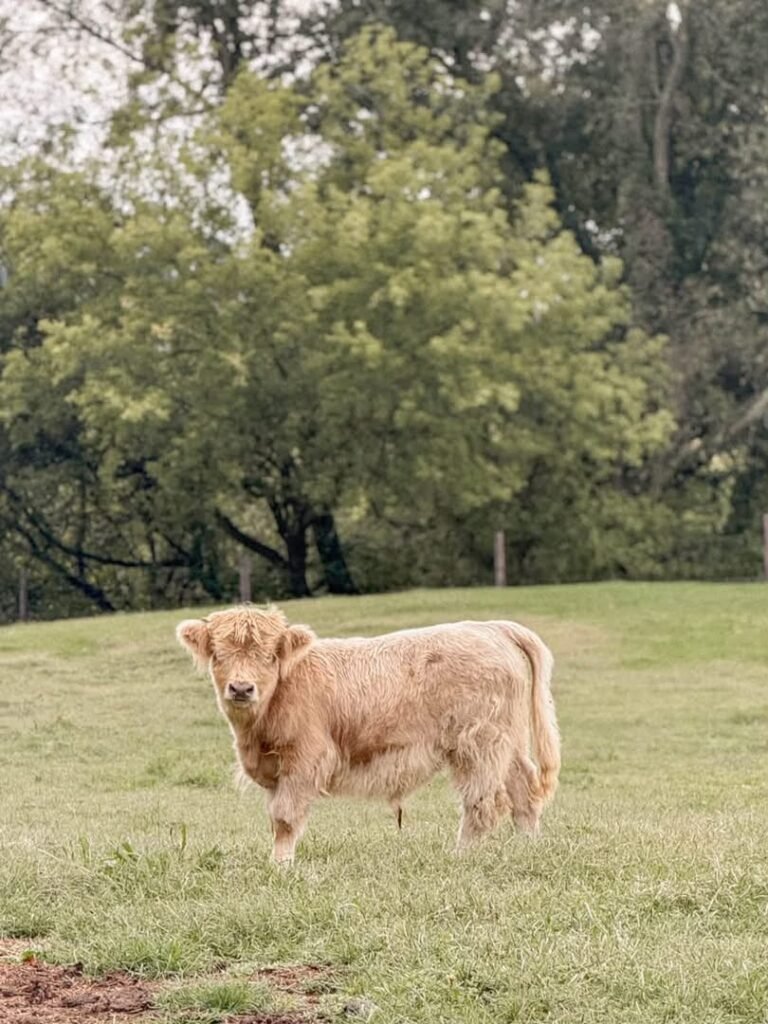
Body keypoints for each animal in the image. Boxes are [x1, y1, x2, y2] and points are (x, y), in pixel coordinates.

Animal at [176, 605, 560, 864]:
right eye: (218, 654)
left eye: (270, 655)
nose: (241, 688)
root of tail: (489, 627)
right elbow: (276, 817)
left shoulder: (304, 760)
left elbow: (285, 817)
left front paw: (281, 866)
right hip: (507, 741)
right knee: (523, 790)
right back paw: (529, 846)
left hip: (477, 742)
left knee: (482, 802)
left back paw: (460, 855)